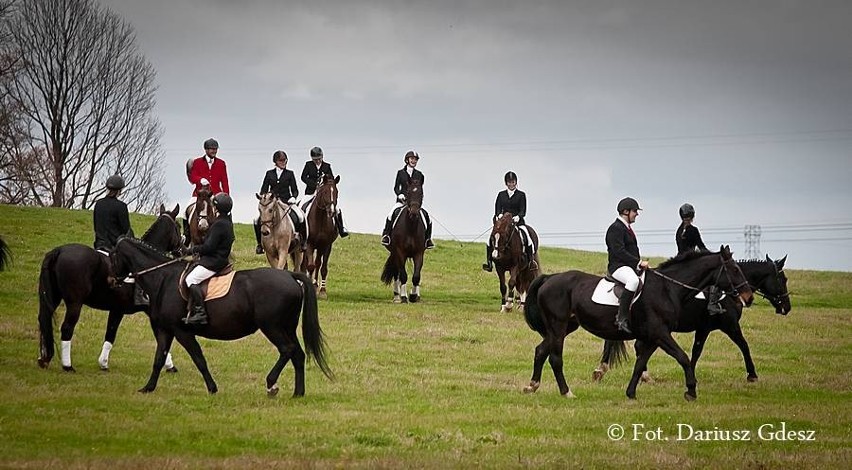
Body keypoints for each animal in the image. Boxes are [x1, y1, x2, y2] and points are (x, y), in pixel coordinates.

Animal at [37, 204, 183, 372]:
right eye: (178, 226)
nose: (183, 248)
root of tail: (59, 250)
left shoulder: (116, 309)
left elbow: (110, 333)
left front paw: (103, 363)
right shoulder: (146, 310)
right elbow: (160, 338)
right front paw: (170, 365)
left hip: (53, 297)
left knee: (44, 319)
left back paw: (44, 358)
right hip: (75, 303)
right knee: (67, 328)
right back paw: (67, 366)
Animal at [107, 237, 332, 394]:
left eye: (112, 255)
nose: (111, 281)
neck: (163, 279)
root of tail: (290, 276)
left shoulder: (182, 331)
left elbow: (199, 359)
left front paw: (212, 388)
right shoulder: (165, 330)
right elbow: (158, 359)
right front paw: (148, 388)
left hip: (272, 327)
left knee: (287, 350)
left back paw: (271, 385)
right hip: (287, 327)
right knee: (298, 355)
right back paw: (298, 393)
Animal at [520, 246, 752, 400]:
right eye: (734, 270)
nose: (748, 297)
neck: (667, 289)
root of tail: (550, 278)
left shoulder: (652, 337)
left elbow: (640, 363)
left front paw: (630, 393)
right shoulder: (660, 333)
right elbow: (683, 357)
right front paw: (691, 391)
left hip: (564, 327)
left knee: (541, 350)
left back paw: (533, 386)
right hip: (558, 326)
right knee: (555, 358)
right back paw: (566, 392)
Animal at [592, 255, 792, 384]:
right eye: (783, 279)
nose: (787, 308)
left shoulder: (703, 328)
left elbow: (696, 351)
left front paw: (691, 376)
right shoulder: (730, 326)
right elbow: (743, 345)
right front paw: (752, 374)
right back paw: (605, 371)